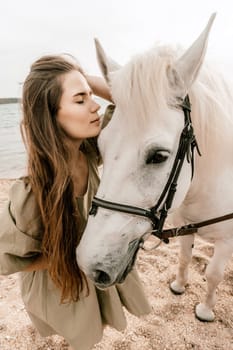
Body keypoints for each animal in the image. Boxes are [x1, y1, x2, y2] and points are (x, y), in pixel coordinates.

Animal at [77, 15, 233, 322]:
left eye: (159, 156)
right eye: (101, 145)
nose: (90, 265)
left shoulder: (226, 241)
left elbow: (213, 274)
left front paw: (206, 310)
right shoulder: (185, 224)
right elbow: (185, 257)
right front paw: (179, 286)